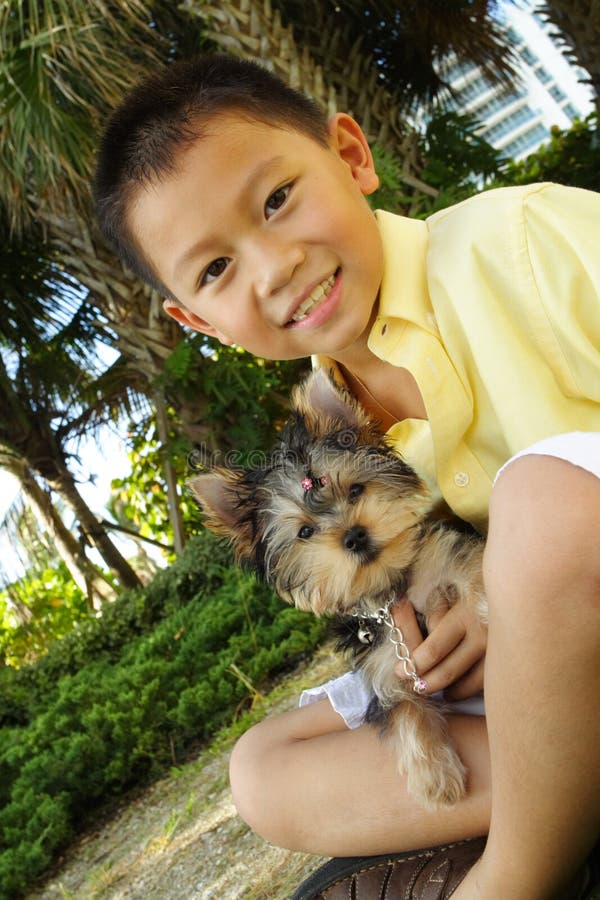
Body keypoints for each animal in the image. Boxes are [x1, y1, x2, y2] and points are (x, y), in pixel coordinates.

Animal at [190, 368, 486, 808]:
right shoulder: (383, 665)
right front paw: (434, 775)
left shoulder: (446, 555)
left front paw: (485, 606)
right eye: (305, 532)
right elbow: (403, 709)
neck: (390, 588)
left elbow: (476, 568)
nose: (354, 535)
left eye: (356, 490)